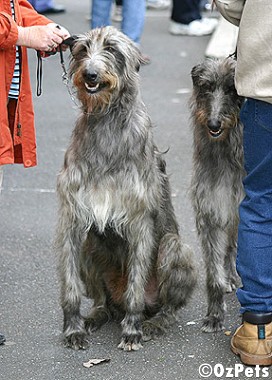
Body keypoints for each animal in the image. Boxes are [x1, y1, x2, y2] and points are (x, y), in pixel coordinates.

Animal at [55, 26, 197, 352]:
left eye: (112, 49)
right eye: (82, 50)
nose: (91, 74)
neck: (106, 121)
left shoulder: (139, 219)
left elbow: (136, 286)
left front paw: (131, 330)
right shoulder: (72, 216)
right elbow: (70, 286)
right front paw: (72, 328)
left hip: (175, 249)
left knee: (165, 305)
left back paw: (152, 322)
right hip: (90, 249)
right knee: (102, 300)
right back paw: (96, 315)